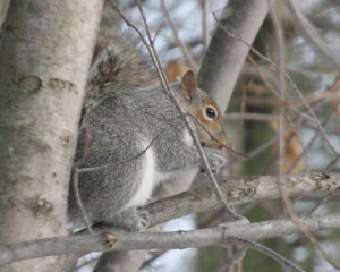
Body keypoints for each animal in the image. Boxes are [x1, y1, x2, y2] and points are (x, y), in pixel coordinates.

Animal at [67, 41, 228, 232]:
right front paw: (211, 157)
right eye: (210, 113)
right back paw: (125, 219)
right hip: (123, 160)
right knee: (100, 211)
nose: (223, 143)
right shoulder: (162, 124)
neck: (179, 108)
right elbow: (170, 155)